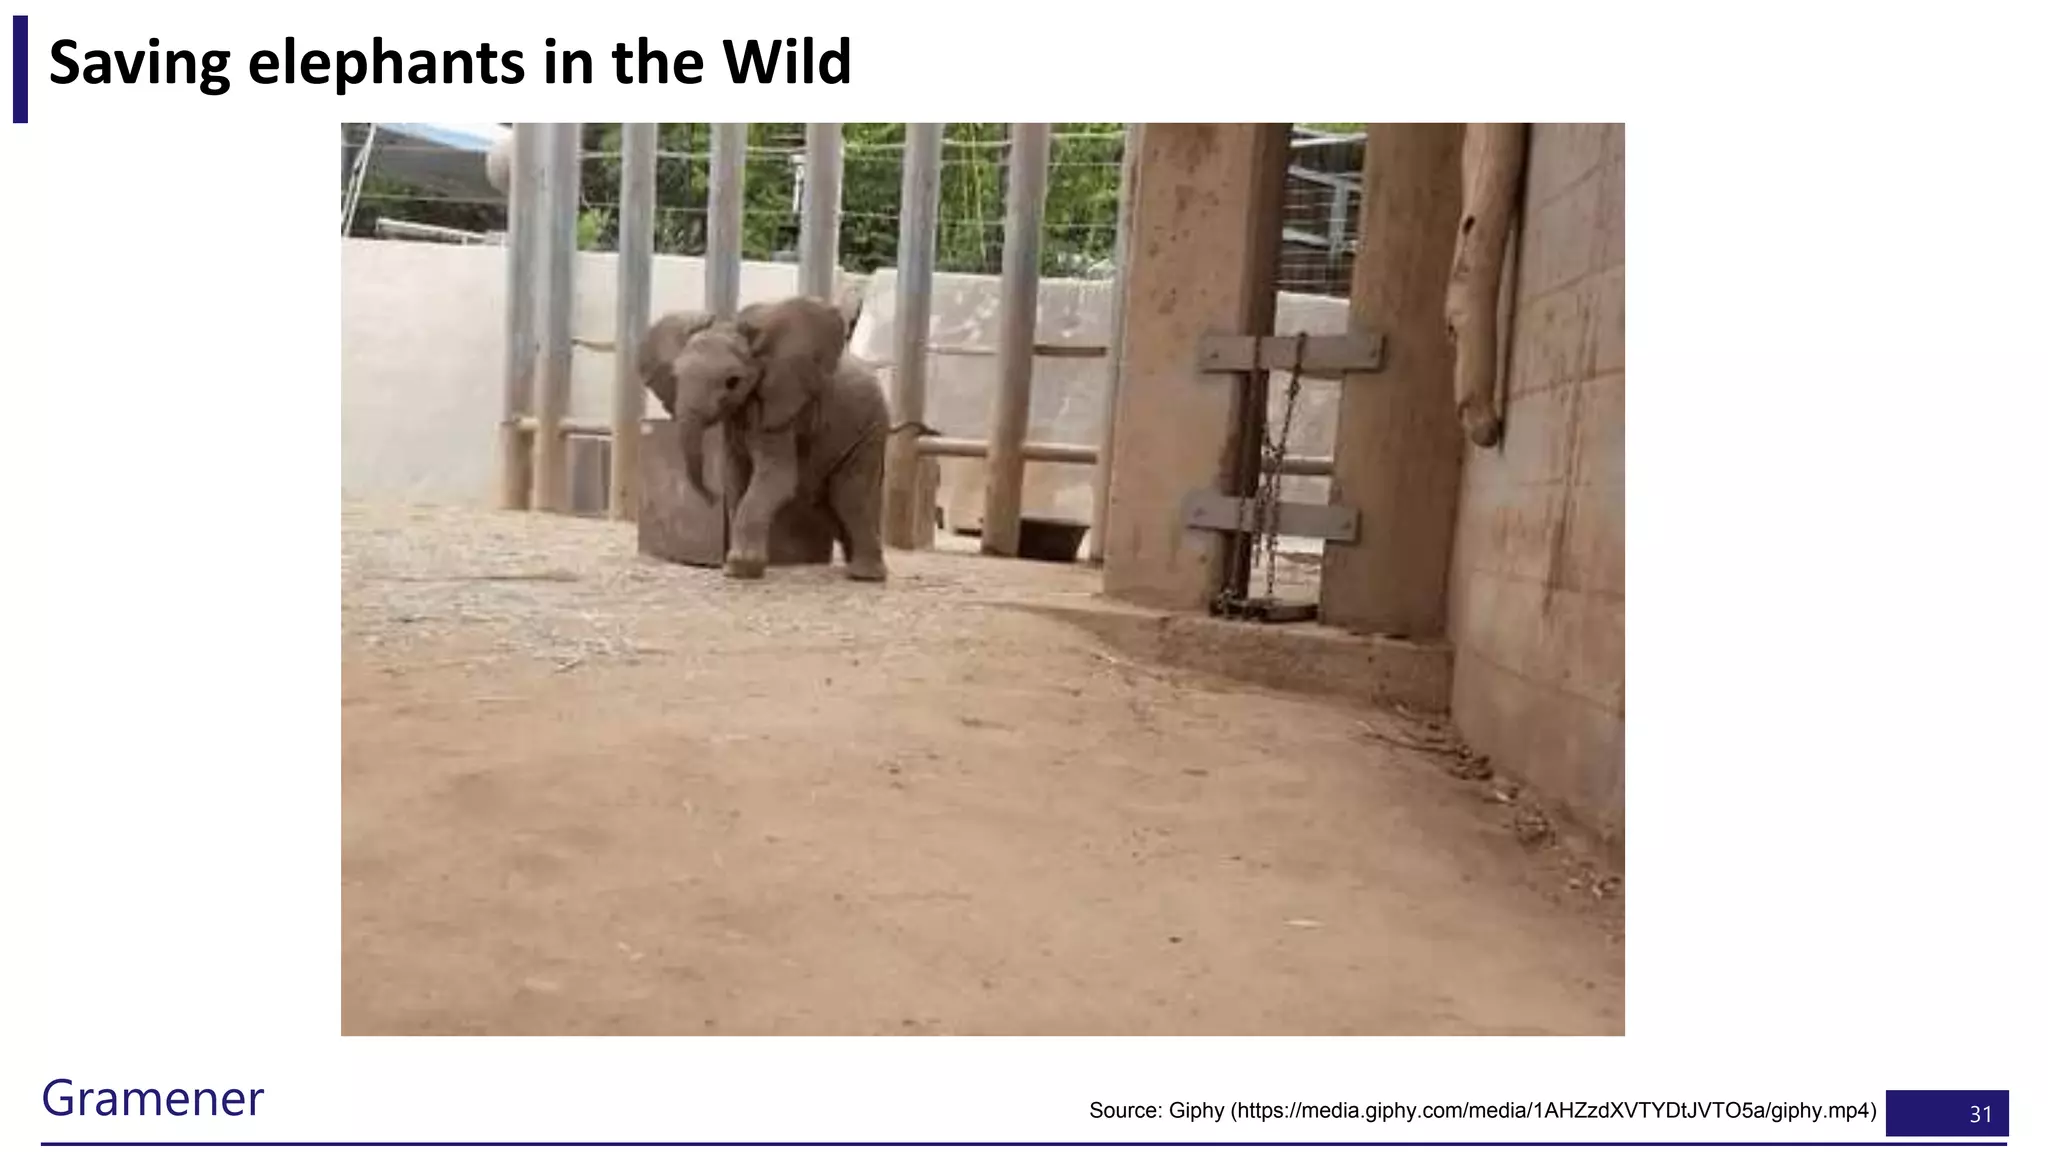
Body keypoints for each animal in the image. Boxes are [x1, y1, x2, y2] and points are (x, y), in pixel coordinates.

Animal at [639, 297, 889, 582]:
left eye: (733, 382)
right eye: (675, 378)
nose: (711, 498)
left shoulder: (779, 411)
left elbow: (777, 477)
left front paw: (740, 569)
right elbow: (735, 478)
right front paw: (735, 567)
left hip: (871, 427)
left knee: (849, 496)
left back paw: (864, 576)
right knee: (827, 502)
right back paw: (854, 566)